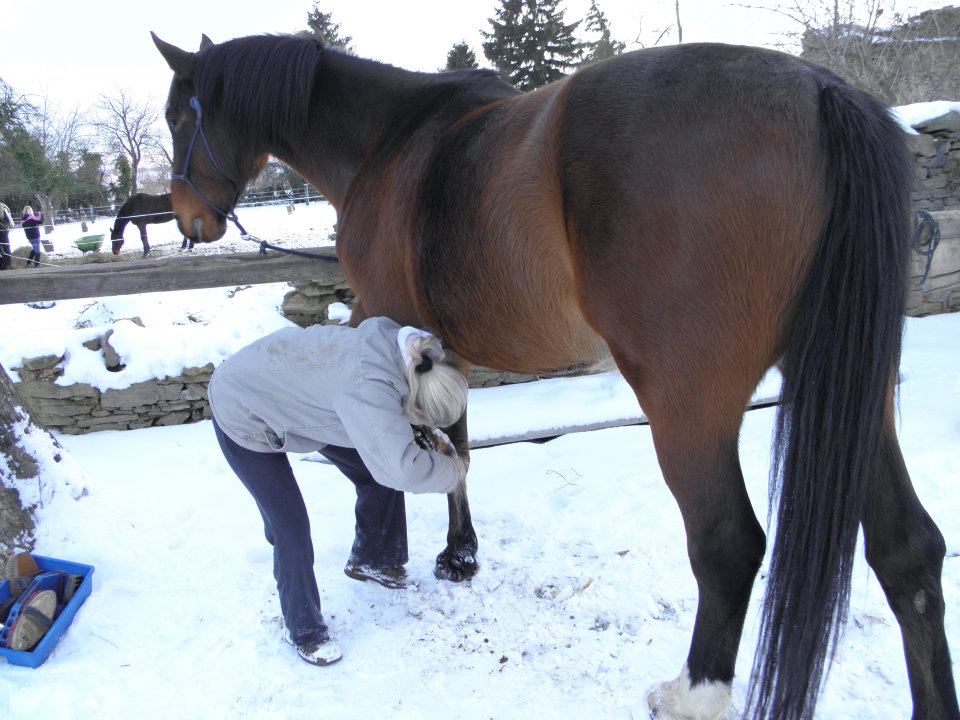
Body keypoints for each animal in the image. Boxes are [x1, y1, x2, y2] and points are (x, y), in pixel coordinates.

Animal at [154, 31, 956, 716]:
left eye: (174, 116)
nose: (189, 219)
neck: (388, 142)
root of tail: (820, 91)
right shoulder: (442, 349)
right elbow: (457, 447)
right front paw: (461, 552)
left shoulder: (401, 329)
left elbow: (440, 448)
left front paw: (443, 556)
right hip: (850, 393)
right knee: (908, 552)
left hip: (687, 403)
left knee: (728, 546)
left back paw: (689, 694)